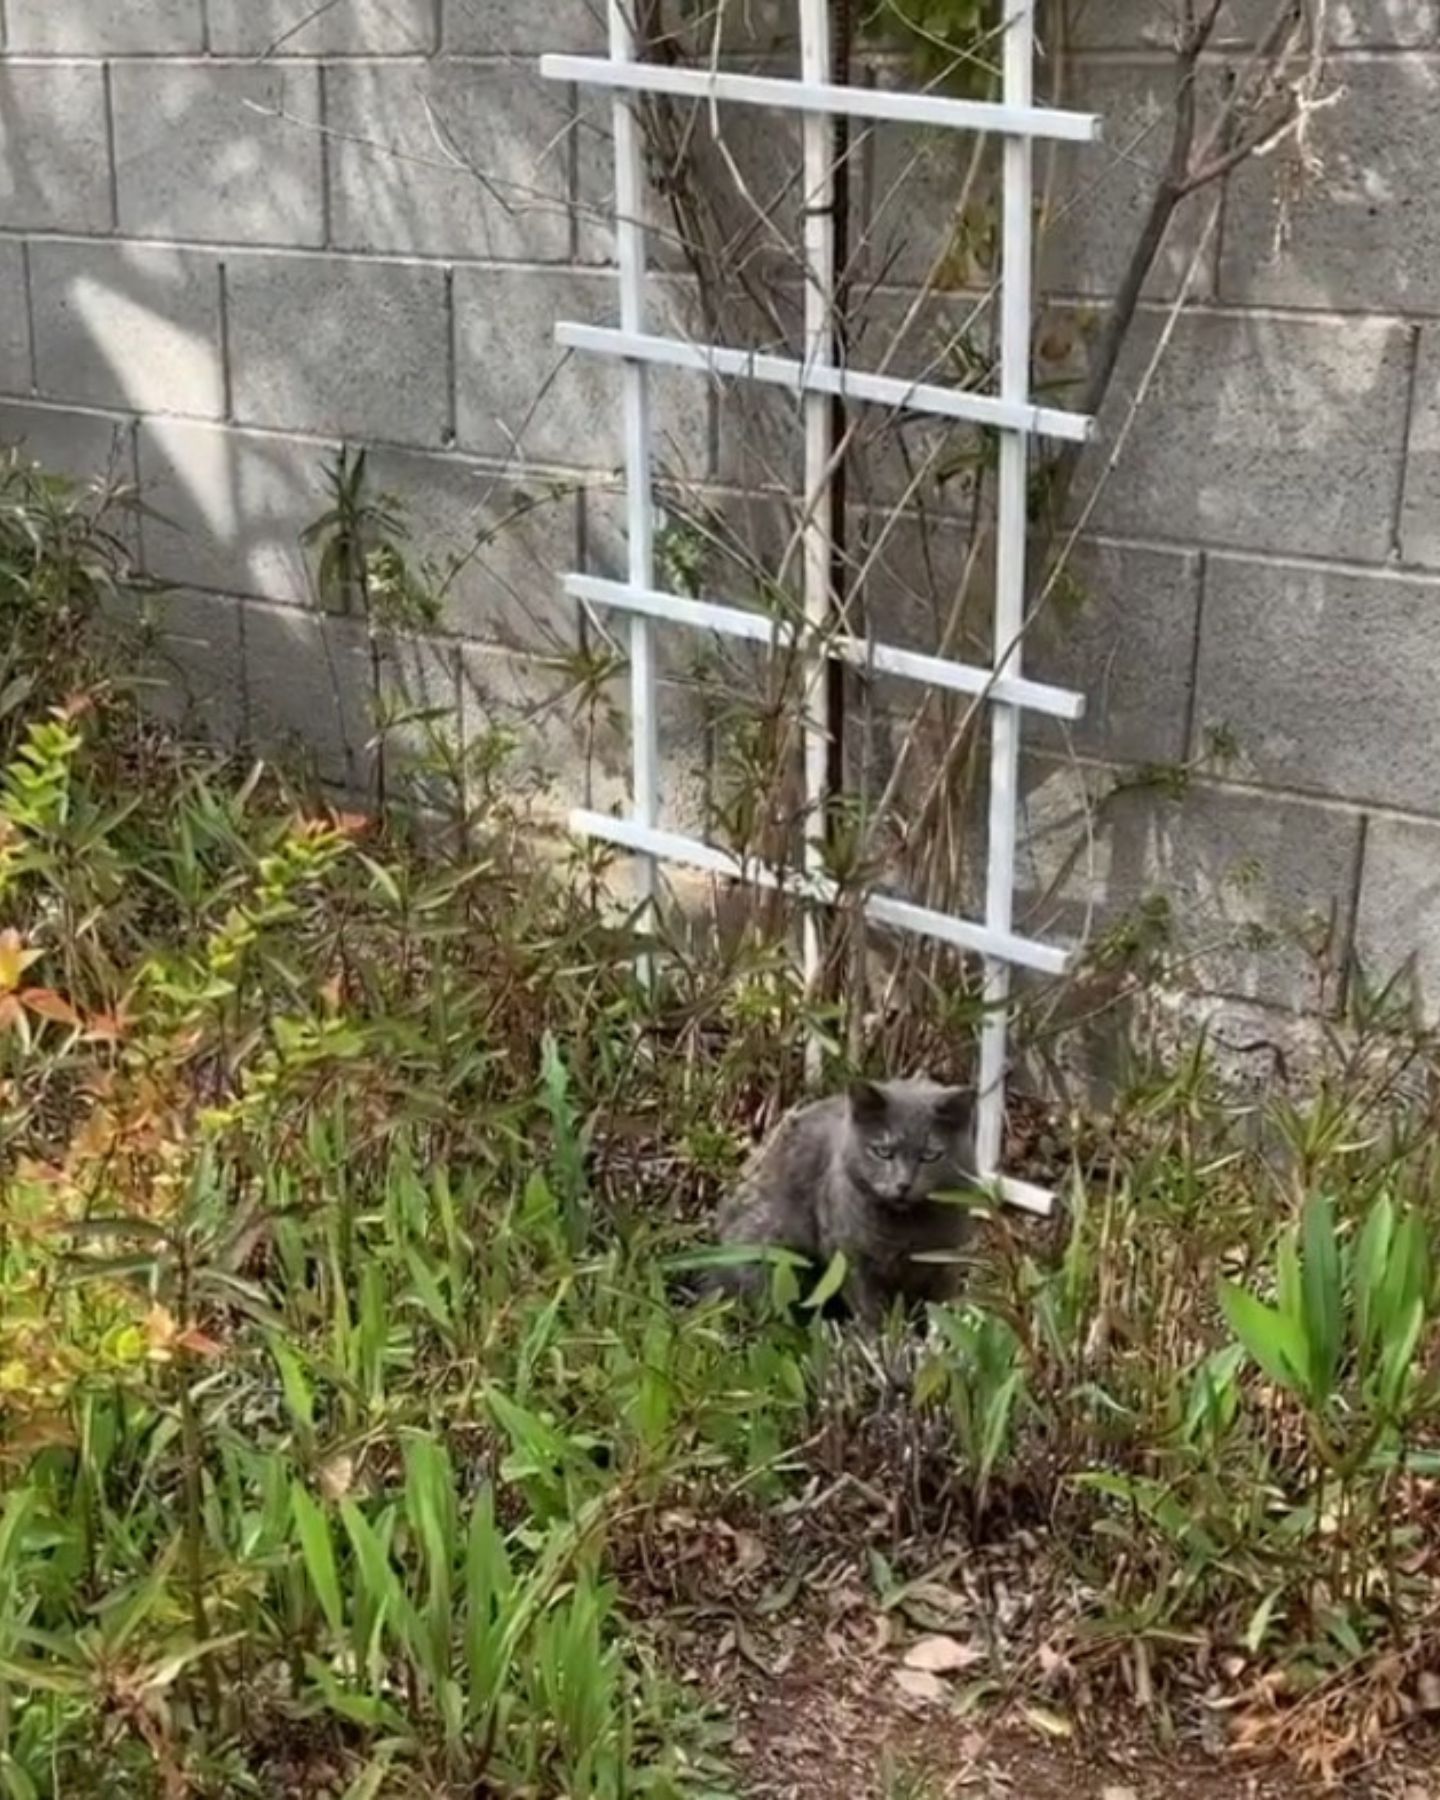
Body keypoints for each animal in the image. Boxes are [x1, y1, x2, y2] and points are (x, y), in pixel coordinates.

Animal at [716, 1080, 986, 1324]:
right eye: (882, 1152)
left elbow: (938, 1310)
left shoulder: (947, 1263)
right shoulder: (851, 1258)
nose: (903, 1184)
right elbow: (870, 1312)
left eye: (930, 1155)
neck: (906, 1232)